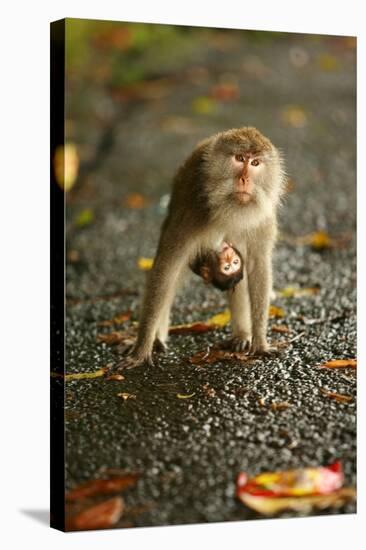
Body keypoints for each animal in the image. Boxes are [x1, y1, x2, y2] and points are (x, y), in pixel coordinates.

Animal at [123, 128, 286, 368]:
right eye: (240, 158)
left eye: (255, 163)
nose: (245, 179)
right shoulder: (192, 213)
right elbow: (166, 270)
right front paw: (141, 350)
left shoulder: (263, 220)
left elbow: (258, 267)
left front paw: (260, 343)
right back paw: (157, 338)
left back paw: (242, 335)